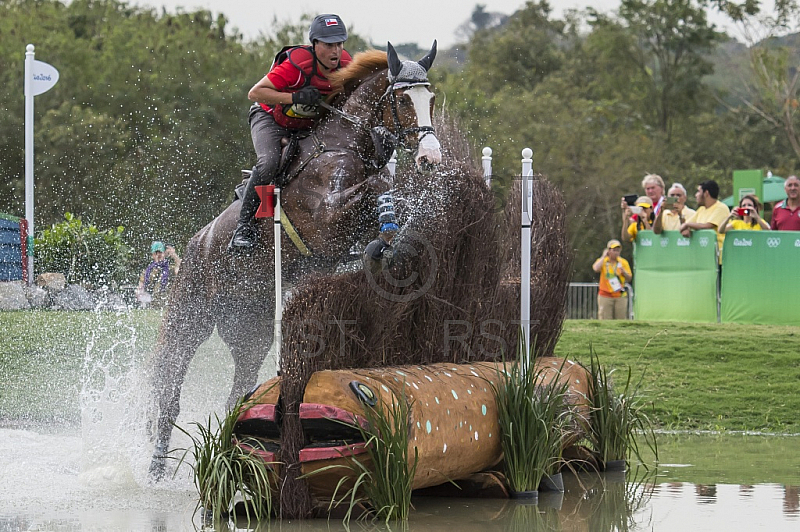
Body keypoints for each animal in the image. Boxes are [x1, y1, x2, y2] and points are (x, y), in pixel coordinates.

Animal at [149, 41, 444, 476]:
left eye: (432, 99)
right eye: (404, 99)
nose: (430, 158)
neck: (344, 141)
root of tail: (196, 241)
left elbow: (389, 195)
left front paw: (387, 245)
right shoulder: (327, 219)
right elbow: (377, 185)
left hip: (248, 324)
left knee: (238, 388)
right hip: (191, 314)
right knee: (170, 381)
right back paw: (156, 466)